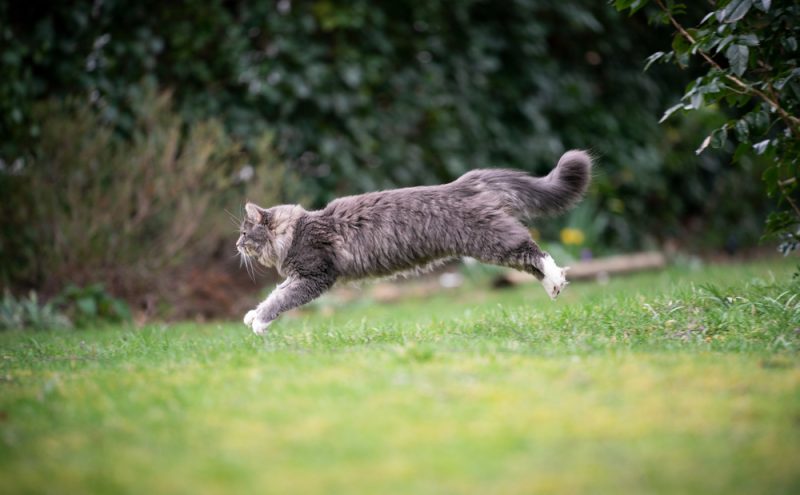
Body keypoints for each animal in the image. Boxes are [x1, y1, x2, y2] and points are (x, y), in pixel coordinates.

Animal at [234, 149, 592, 336]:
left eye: (243, 232)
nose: (236, 245)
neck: (298, 229)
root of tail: (464, 183)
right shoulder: (299, 277)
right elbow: (274, 293)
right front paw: (252, 315)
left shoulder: (313, 276)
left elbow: (281, 299)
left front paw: (260, 322)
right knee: (531, 262)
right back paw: (554, 286)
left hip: (490, 240)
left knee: (535, 252)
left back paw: (556, 279)